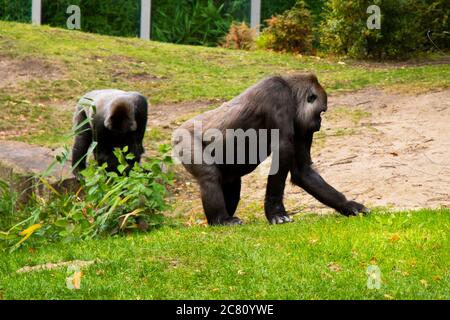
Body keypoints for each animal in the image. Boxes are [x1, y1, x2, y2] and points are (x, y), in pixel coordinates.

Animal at [172, 74, 370, 226]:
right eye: (321, 112)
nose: (319, 124)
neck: (291, 92)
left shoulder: (302, 127)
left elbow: (303, 171)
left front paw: (348, 205)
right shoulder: (278, 96)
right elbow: (282, 153)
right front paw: (276, 213)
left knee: (231, 182)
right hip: (183, 138)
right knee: (209, 176)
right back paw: (221, 220)